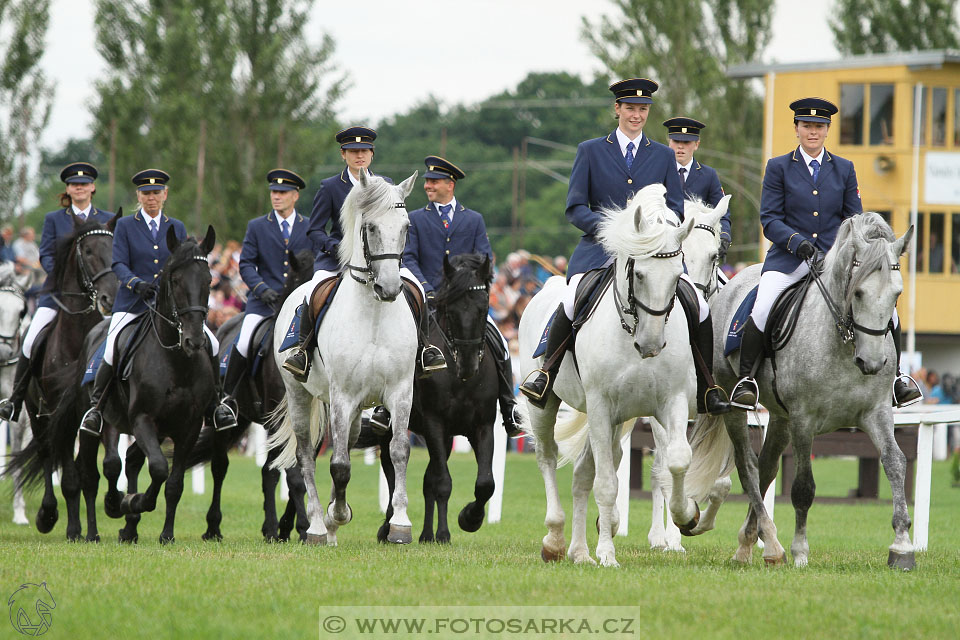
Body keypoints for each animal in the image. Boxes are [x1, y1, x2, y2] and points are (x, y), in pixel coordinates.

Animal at [178, 248, 314, 544]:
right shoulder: (281, 419)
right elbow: (294, 476)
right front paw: (302, 527)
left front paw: (291, 526)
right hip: (232, 421)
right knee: (221, 467)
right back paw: (214, 527)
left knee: (267, 470)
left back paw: (272, 527)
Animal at [270, 169, 420, 544]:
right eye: (371, 227)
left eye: (406, 227)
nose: (389, 289)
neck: (374, 315)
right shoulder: (342, 396)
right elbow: (338, 464)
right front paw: (336, 515)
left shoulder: (401, 392)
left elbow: (399, 450)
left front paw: (400, 525)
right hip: (299, 393)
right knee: (306, 455)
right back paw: (318, 526)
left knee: (347, 444)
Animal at [356, 252, 498, 544]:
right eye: (450, 311)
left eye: (483, 308)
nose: (468, 366)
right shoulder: (435, 424)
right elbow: (442, 482)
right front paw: (446, 531)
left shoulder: (483, 425)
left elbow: (484, 483)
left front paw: (470, 519)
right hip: (396, 426)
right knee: (393, 471)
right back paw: (390, 526)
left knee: (428, 479)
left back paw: (426, 533)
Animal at [520, 184, 724, 564]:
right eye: (639, 274)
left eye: (676, 275)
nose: (651, 344)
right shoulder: (601, 407)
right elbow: (607, 483)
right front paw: (608, 554)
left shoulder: (671, 403)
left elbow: (676, 460)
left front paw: (686, 517)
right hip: (547, 405)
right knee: (549, 456)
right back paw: (556, 539)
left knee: (586, 471)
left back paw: (580, 551)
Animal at [704, 212, 916, 568]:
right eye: (858, 293)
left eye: (897, 294)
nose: (872, 363)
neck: (844, 345)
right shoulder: (804, 420)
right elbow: (803, 486)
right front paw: (800, 551)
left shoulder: (876, 413)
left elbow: (895, 463)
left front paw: (902, 546)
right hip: (737, 407)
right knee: (748, 467)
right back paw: (766, 546)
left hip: (780, 417)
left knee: (766, 468)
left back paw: (754, 543)